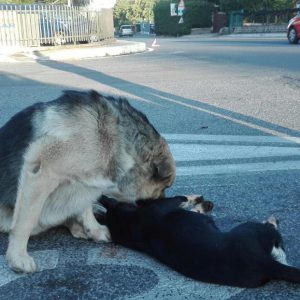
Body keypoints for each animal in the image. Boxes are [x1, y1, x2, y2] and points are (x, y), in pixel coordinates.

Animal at [0, 90, 176, 274]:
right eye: (164, 187)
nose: (165, 204)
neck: (112, 138)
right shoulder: (40, 174)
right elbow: (25, 221)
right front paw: (18, 256)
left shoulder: (86, 182)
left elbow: (86, 207)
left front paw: (94, 229)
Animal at [95, 195, 300, 288]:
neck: (131, 222)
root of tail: (263, 263)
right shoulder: (169, 203)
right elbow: (184, 200)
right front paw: (196, 200)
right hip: (250, 228)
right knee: (275, 236)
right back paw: (272, 221)